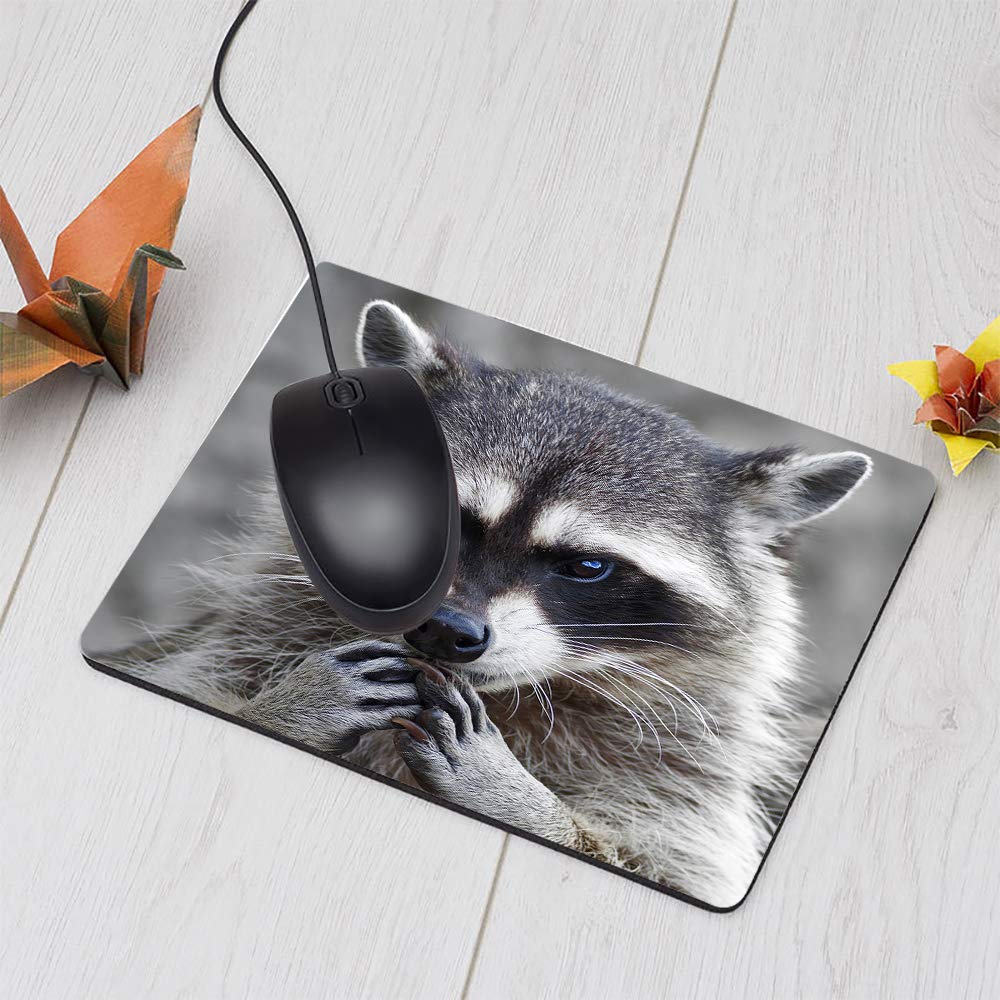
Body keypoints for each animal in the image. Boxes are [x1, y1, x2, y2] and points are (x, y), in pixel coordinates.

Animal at [110, 300, 871, 908]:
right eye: (446, 515)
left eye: (587, 567)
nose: (447, 631)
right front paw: (289, 703)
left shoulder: (689, 792)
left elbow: (659, 862)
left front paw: (530, 805)